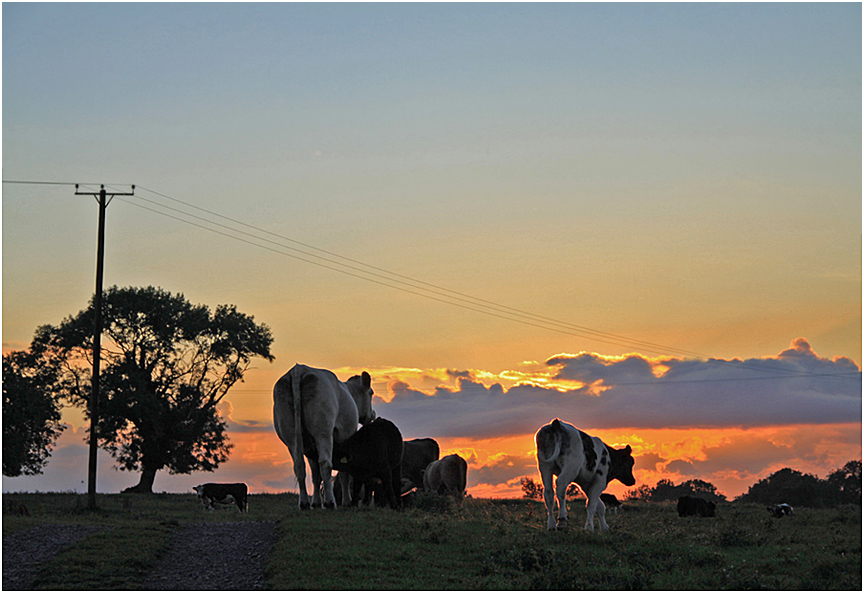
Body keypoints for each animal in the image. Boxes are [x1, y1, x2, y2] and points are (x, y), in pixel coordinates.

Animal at [274, 360, 374, 508]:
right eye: (371, 393)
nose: (373, 415)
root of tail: (298, 370)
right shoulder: (346, 437)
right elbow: (344, 473)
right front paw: (347, 502)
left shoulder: (310, 448)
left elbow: (316, 475)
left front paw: (315, 503)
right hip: (323, 432)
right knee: (325, 463)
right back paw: (330, 502)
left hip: (290, 435)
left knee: (299, 465)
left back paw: (304, 503)